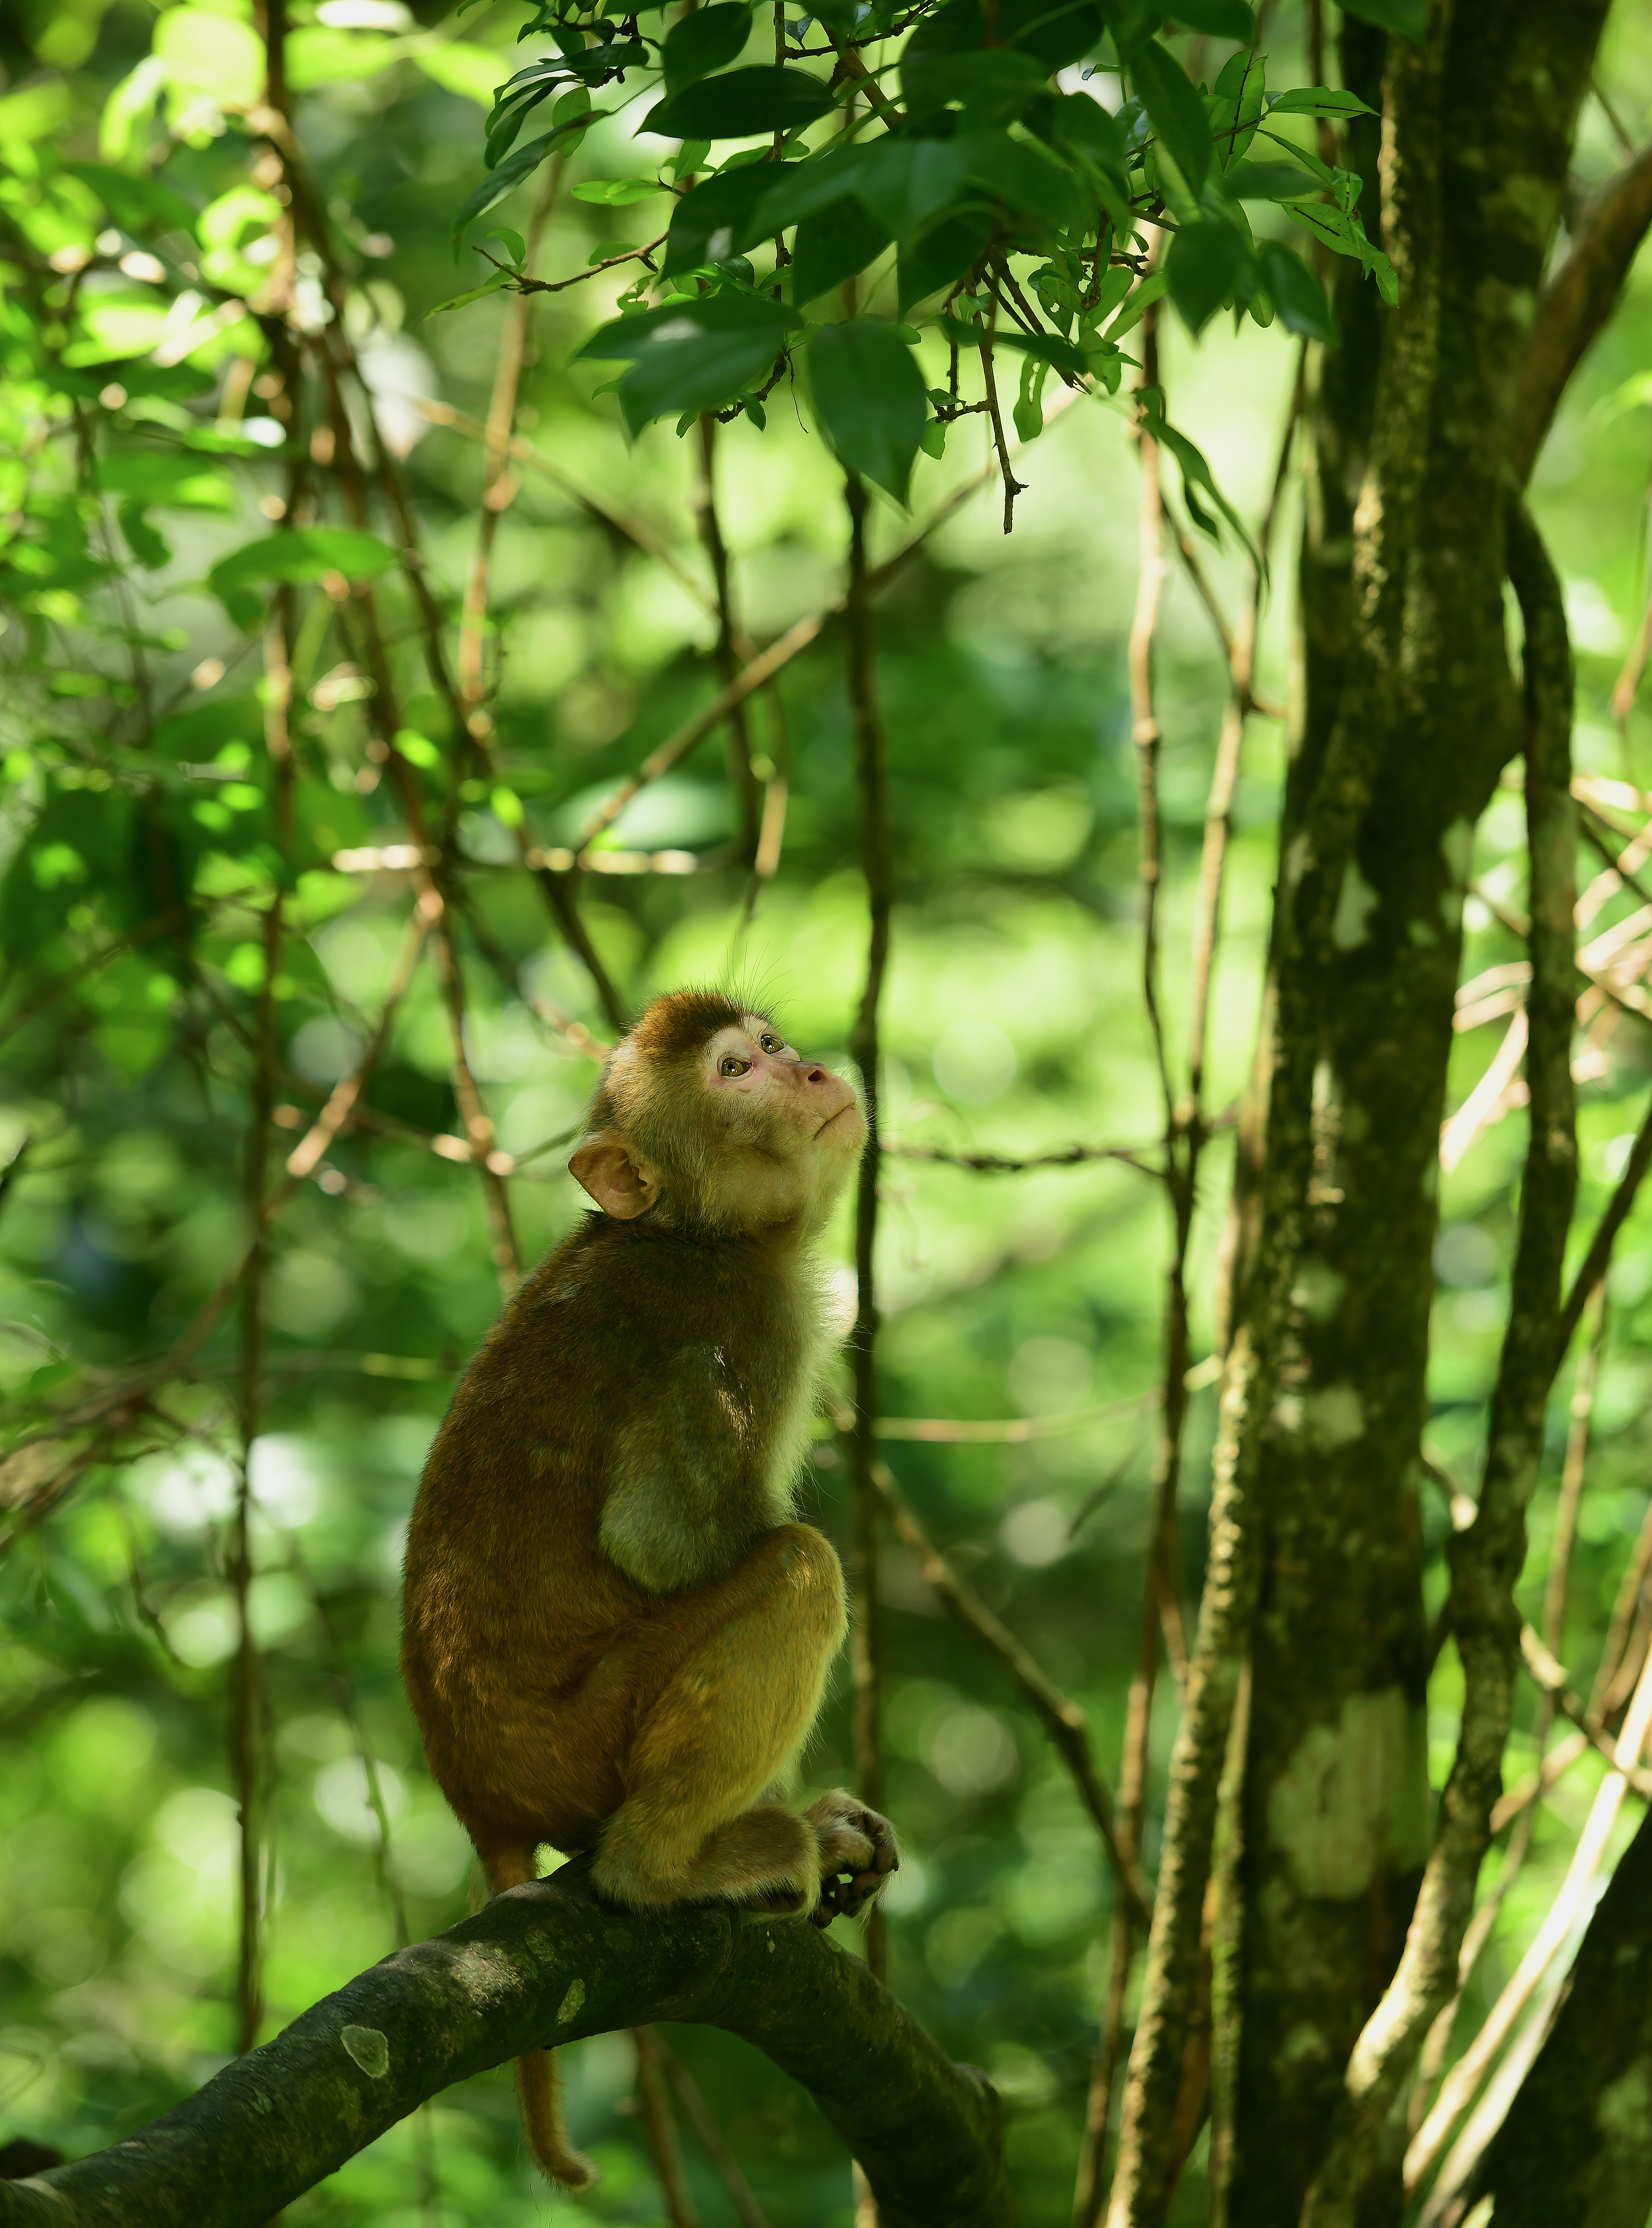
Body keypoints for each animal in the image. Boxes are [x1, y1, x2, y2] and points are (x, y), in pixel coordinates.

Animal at [399, 994, 896, 2192]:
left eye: (770, 1046)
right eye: (735, 1073)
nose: (813, 1072)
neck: (690, 1232)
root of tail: (476, 1799)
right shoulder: (737, 1324)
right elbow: (663, 1540)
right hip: (578, 1745)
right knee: (803, 1568)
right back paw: (663, 1867)